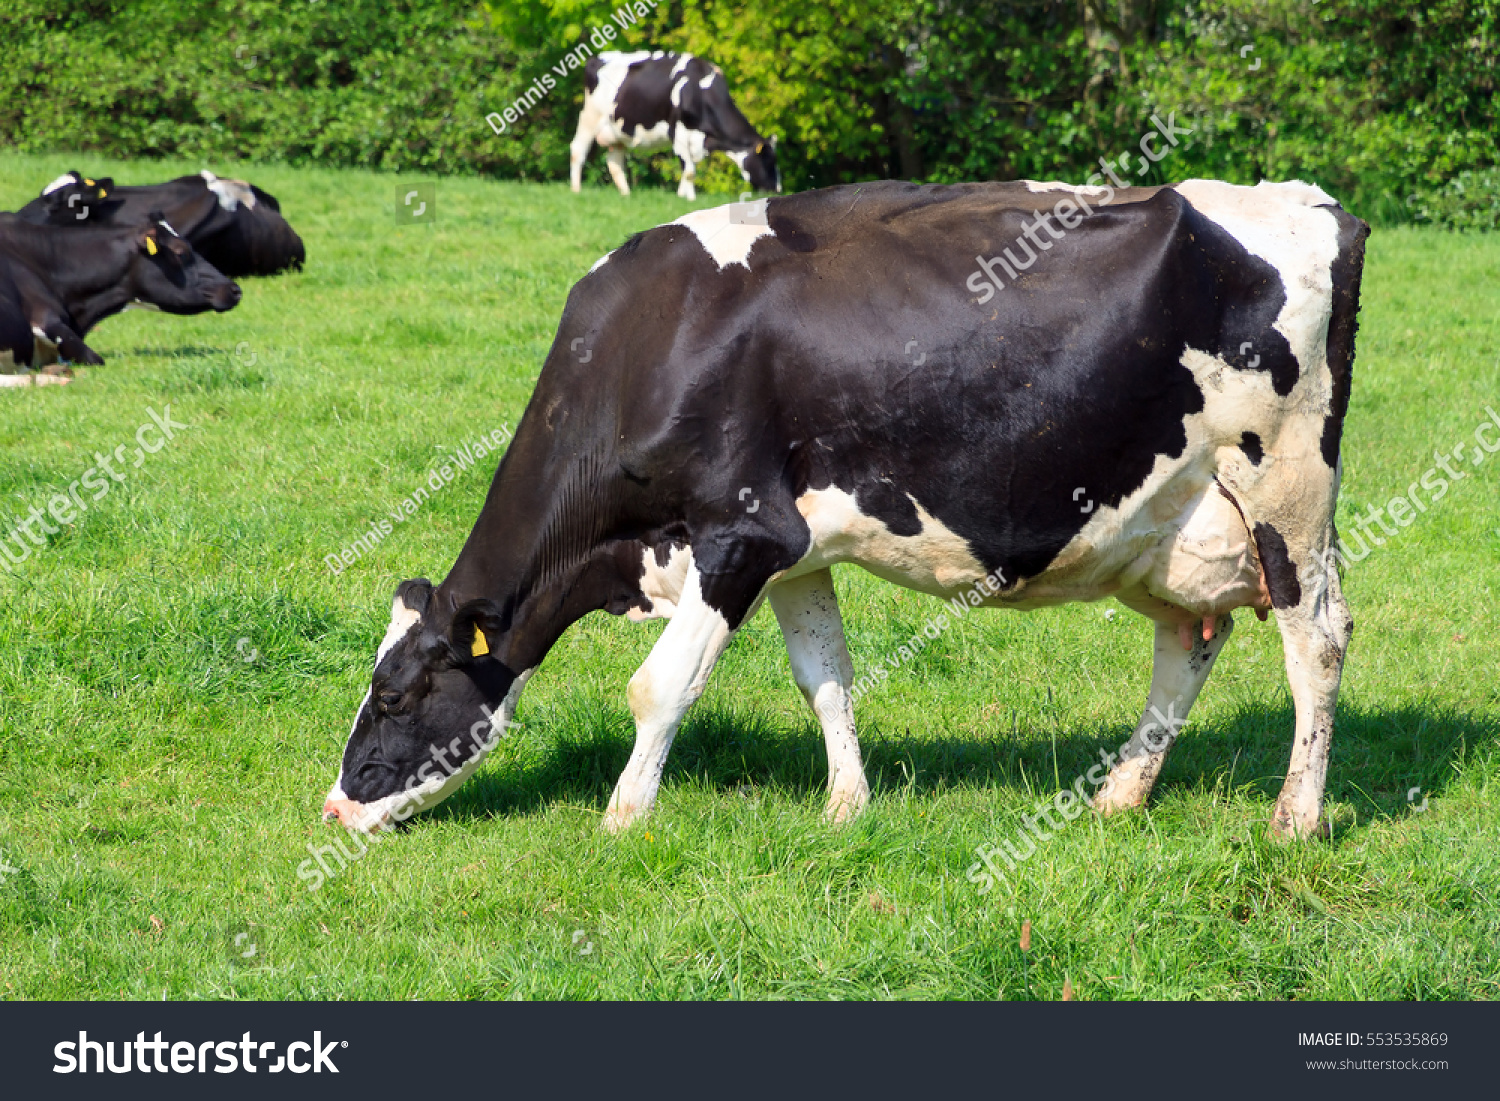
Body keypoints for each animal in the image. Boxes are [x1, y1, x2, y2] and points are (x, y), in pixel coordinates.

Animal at [325, 179, 1374, 846]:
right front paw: (845, 807)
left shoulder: (740, 534)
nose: (335, 809)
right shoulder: (795, 552)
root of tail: (1312, 202)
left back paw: (1294, 820)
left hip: (1286, 489)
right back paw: (1120, 795)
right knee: (1189, 642)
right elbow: (824, 676)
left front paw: (623, 819)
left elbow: (659, 686)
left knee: (1317, 640)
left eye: (395, 694)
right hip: (1169, 522)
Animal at [570, 50, 786, 201]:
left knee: (614, 162)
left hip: (618, 132)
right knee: (578, 149)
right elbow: (689, 170)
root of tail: (596, 58)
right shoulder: (679, 131)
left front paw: (682, 195)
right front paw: (689, 199)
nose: (777, 189)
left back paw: (626, 194)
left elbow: (689, 168)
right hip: (590, 116)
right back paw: (576, 190)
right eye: (768, 161)